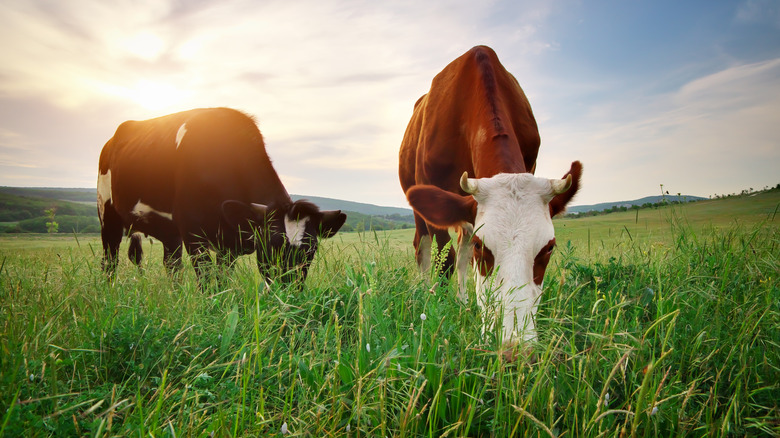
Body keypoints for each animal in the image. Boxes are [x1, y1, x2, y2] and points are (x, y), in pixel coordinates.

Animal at [96, 108, 346, 282]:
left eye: (310, 251)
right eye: (271, 246)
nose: (288, 293)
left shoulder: (229, 244)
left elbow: (222, 280)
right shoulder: (193, 232)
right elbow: (207, 281)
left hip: (169, 232)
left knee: (172, 265)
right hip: (107, 214)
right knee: (110, 261)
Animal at [400, 46, 580, 350]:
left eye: (548, 248)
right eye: (482, 246)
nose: (514, 349)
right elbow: (445, 260)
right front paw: (438, 308)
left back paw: (463, 301)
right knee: (424, 247)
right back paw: (426, 292)